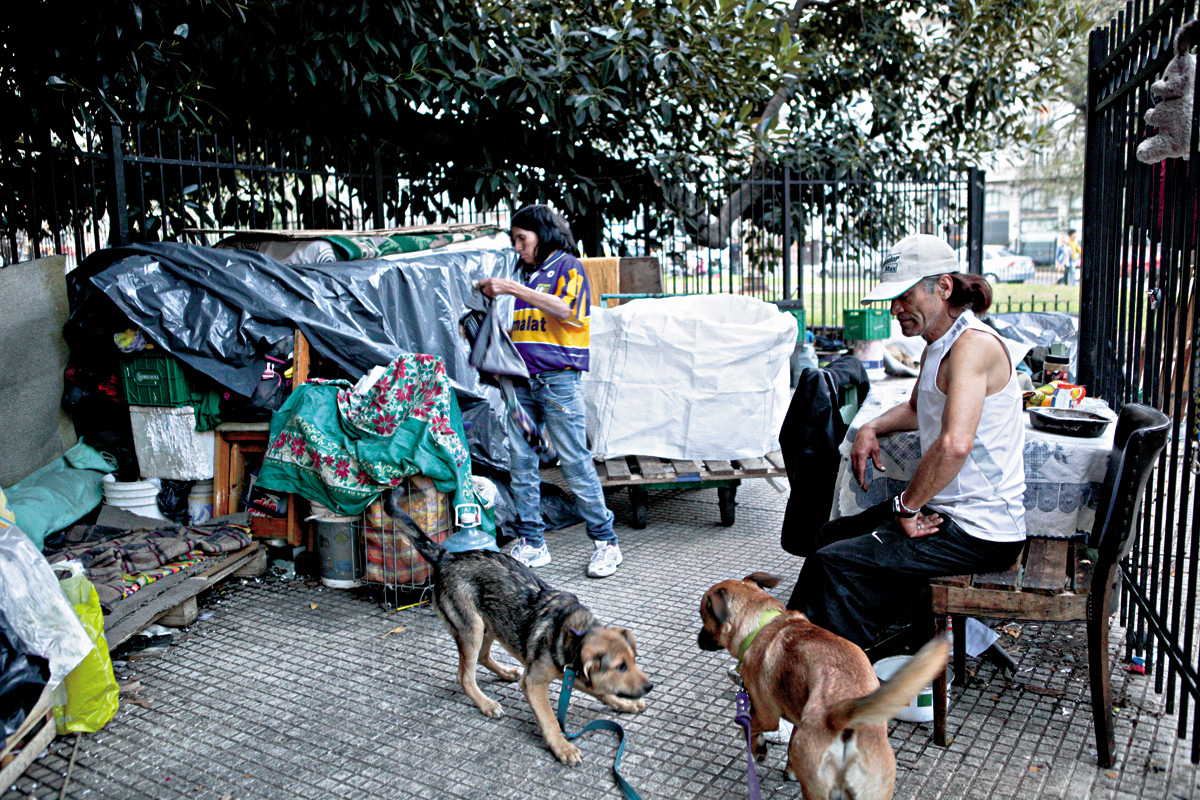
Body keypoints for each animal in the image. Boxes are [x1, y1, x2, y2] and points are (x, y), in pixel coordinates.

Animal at [386, 501, 652, 767]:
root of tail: (447, 557)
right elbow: (550, 719)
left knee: (483, 657)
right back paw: (486, 704)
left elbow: (602, 690)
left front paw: (623, 703)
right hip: (472, 627)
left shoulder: (572, 673)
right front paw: (563, 747)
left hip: (491, 623)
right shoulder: (534, 682)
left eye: (633, 661)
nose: (650, 686)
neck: (572, 631)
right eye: (620, 667)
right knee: (465, 676)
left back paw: (505, 673)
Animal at [700, 573, 950, 796]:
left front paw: (758, 749)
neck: (764, 623)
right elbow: (789, 744)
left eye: (702, 615)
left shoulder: (765, 714)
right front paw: (788, 768)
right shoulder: (796, 716)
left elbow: (747, 727)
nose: (698, 639)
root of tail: (842, 716)